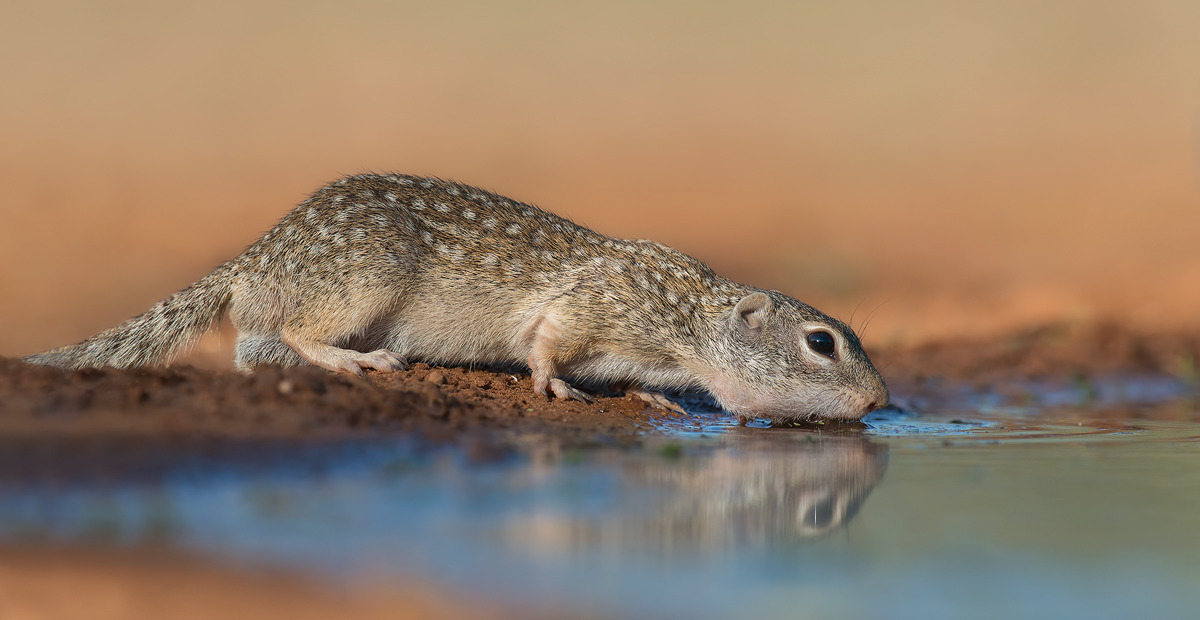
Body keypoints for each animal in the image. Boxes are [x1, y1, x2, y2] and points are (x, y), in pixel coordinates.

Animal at [24, 173, 889, 424]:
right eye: (822, 342)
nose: (883, 399)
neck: (692, 321)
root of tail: (256, 254)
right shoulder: (601, 306)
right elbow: (549, 341)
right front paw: (551, 383)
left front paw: (651, 396)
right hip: (363, 276)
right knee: (298, 330)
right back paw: (351, 359)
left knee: (253, 350)